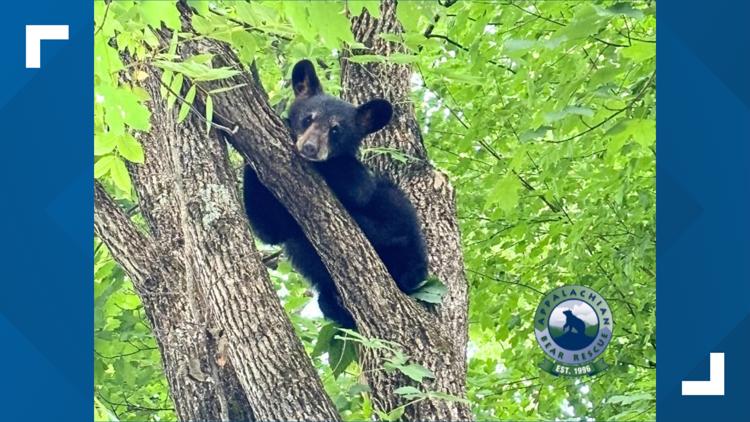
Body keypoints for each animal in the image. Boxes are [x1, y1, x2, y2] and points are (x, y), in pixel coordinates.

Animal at [242, 59, 428, 328]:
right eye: (308, 118)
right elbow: (268, 227)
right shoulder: (282, 221)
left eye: (336, 130)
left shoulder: (357, 175)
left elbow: (358, 187)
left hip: (402, 227)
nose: (310, 148)